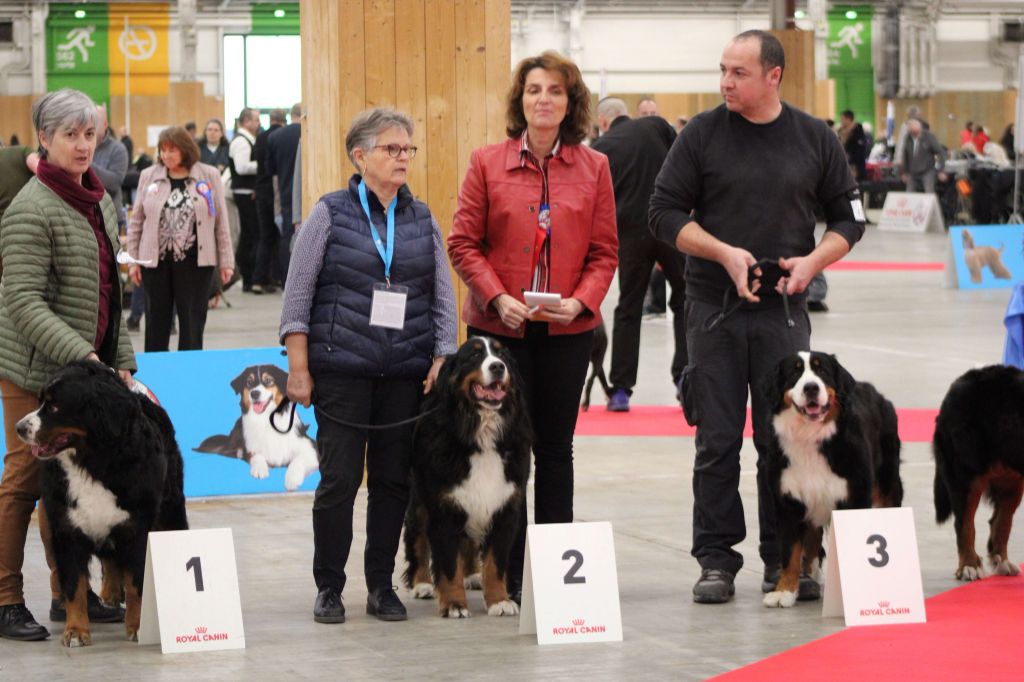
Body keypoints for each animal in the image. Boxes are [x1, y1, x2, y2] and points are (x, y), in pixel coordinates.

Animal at [15, 358, 188, 647]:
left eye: (55, 406)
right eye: (40, 401)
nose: (19, 428)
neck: (92, 461)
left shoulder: (136, 528)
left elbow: (136, 583)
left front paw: (138, 626)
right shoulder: (66, 527)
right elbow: (74, 586)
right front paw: (75, 630)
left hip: (170, 509)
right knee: (110, 562)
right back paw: (109, 595)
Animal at [193, 360, 317, 489]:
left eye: (268, 380)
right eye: (249, 382)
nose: (254, 393)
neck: (267, 419)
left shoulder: (311, 448)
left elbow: (298, 460)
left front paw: (292, 479)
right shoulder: (252, 447)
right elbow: (256, 455)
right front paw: (259, 469)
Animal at [401, 333, 528, 614]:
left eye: (502, 356)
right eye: (475, 355)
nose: (497, 367)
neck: (481, 434)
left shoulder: (504, 505)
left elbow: (495, 562)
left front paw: (499, 600)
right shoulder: (444, 505)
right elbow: (448, 564)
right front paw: (454, 604)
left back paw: (471, 575)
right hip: (419, 498)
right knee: (419, 538)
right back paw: (422, 583)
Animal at [761, 350, 905, 606]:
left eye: (822, 371)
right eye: (795, 373)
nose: (811, 388)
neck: (810, 438)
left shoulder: (855, 499)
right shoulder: (788, 502)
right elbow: (789, 551)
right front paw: (784, 590)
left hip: (888, 484)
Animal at [937, 366, 1024, 577]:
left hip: (1012, 481)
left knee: (1001, 521)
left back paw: (1003, 561)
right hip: (966, 475)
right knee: (965, 524)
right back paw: (969, 565)